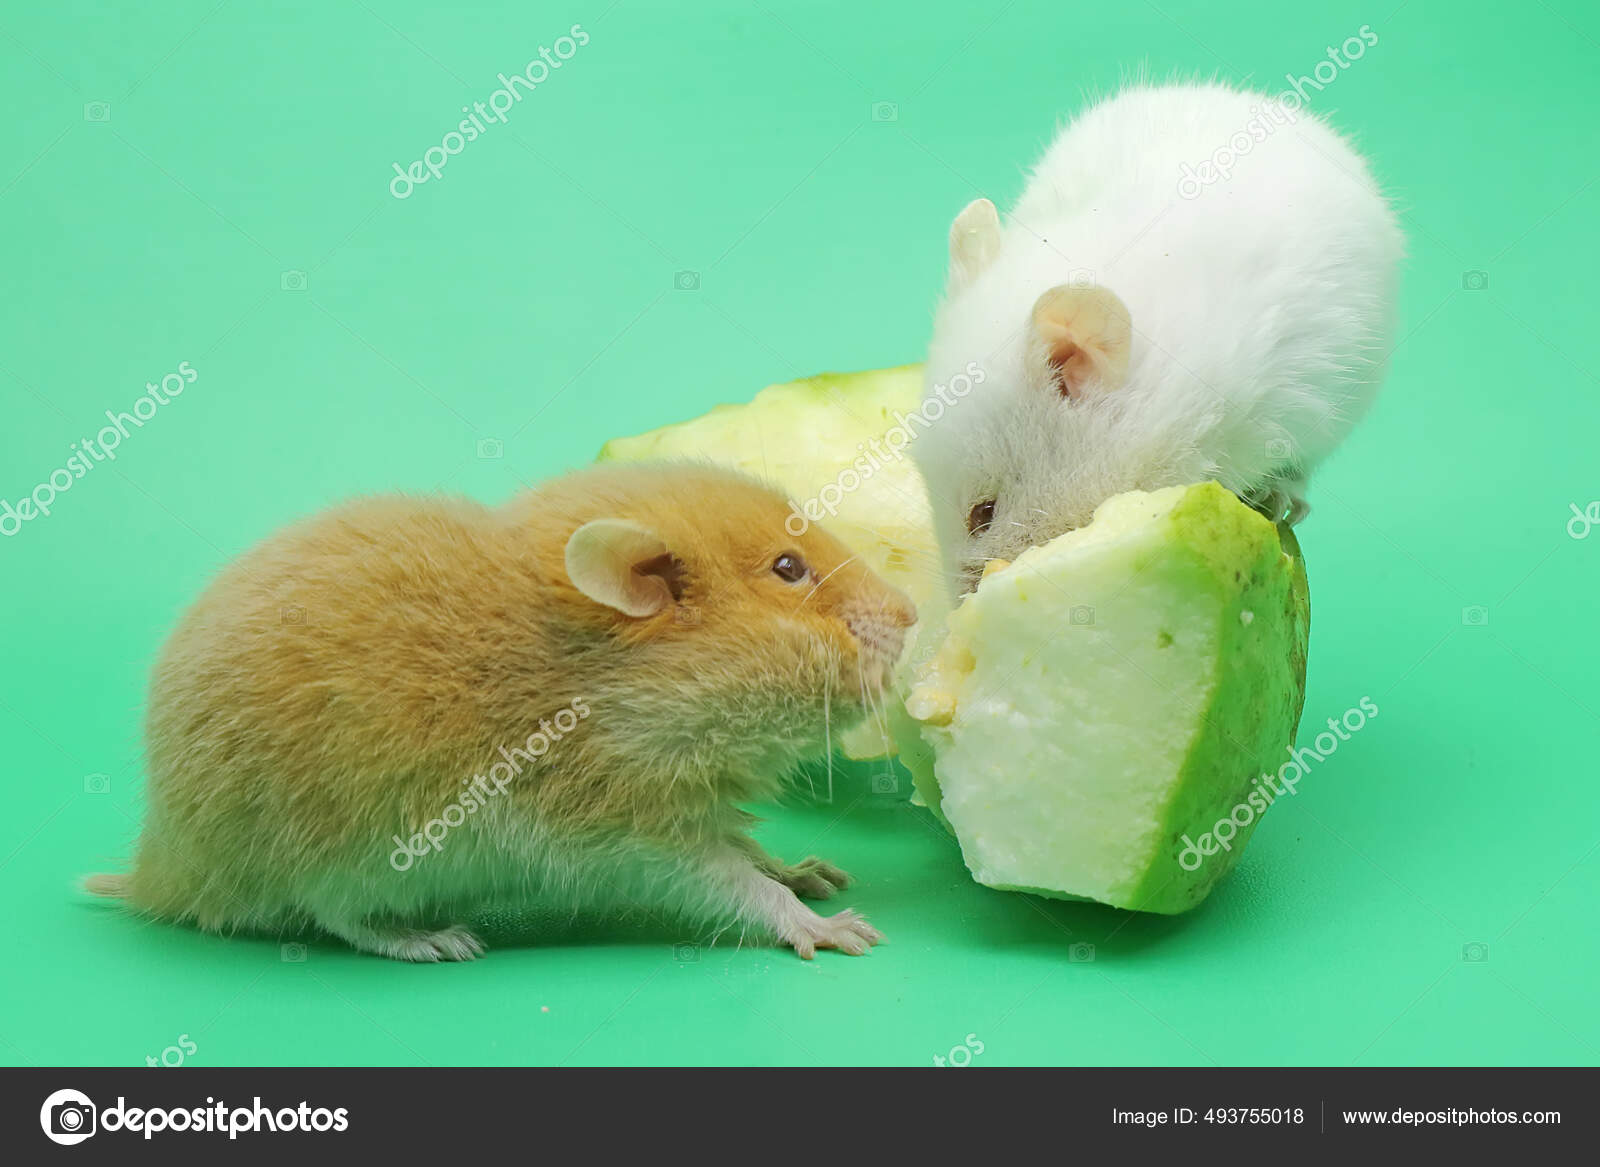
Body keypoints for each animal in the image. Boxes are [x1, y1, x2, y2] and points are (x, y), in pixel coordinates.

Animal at [84, 461, 915, 960]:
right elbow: (739, 885)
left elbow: (755, 852)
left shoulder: (697, 809)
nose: (911, 613)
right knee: (338, 917)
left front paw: (818, 873)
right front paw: (843, 930)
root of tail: (162, 870)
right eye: (789, 568)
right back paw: (439, 940)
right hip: (343, 860)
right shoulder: (627, 838)